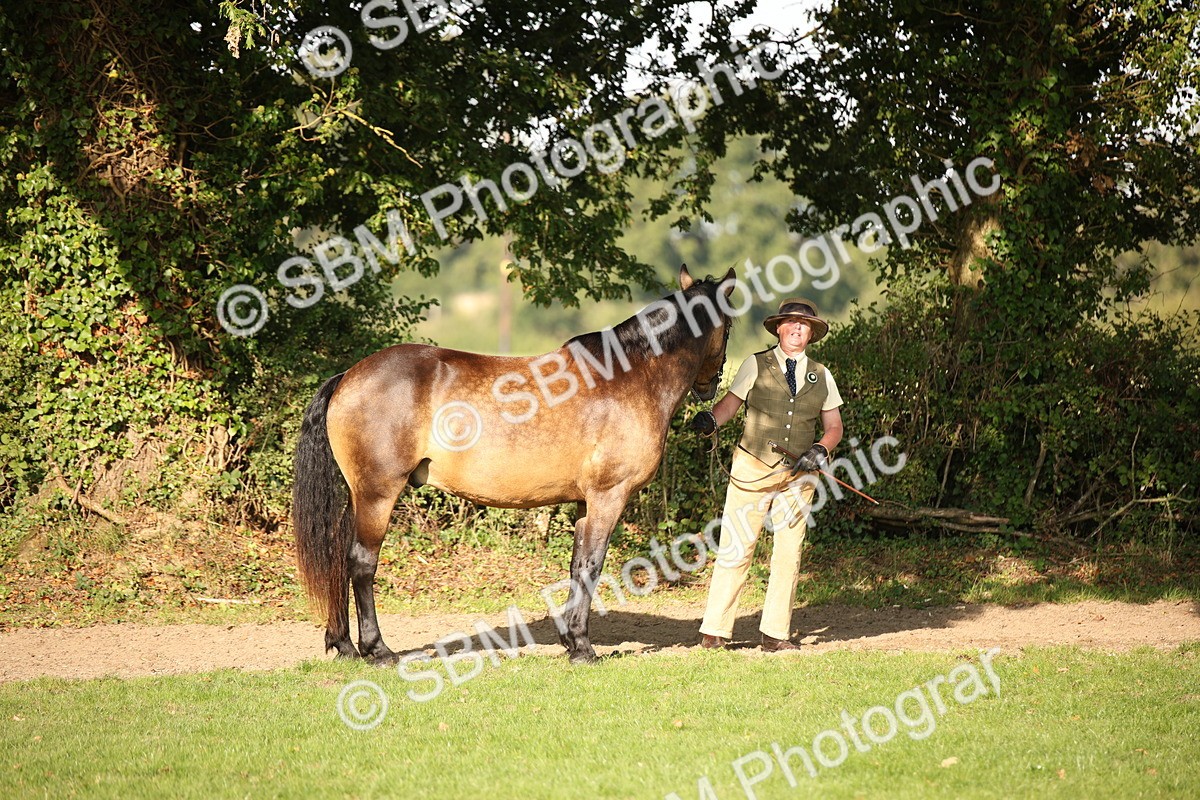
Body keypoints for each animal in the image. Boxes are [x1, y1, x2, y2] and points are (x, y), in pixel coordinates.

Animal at [292, 265, 736, 664]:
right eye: (729, 326)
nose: (710, 385)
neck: (630, 377)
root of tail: (349, 375)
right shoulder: (609, 496)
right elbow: (592, 565)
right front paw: (583, 648)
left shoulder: (584, 502)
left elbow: (576, 566)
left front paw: (571, 641)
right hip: (377, 494)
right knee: (361, 564)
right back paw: (377, 650)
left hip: (358, 495)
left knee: (337, 558)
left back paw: (344, 645)